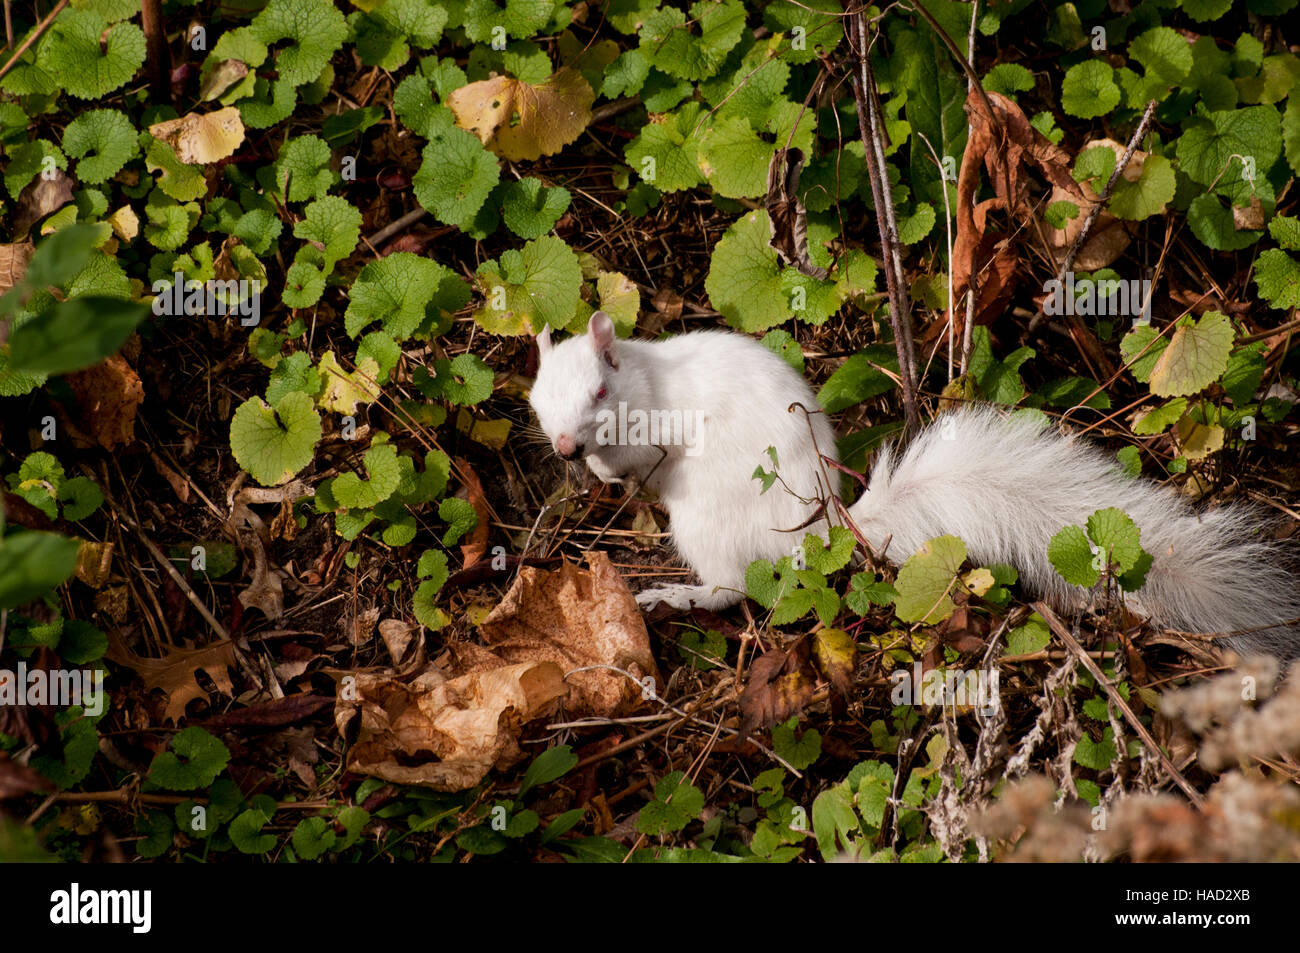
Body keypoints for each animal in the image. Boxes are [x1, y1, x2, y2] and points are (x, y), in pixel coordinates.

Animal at [529, 311, 1300, 658]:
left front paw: (603, 470)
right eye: (537, 397)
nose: (566, 445)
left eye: (599, 391)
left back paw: (674, 595)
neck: (643, 375)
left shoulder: (656, 429)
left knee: (731, 589)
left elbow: (640, 458)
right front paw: (586, 471)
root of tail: (825, 529)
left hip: (706, 524)